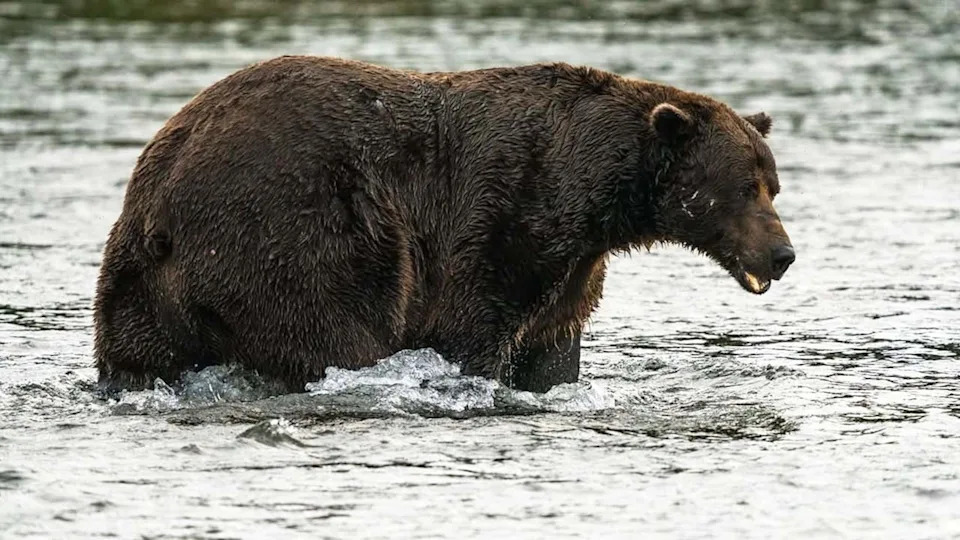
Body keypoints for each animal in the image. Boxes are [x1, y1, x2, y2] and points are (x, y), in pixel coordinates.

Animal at [93, 56, 795, 394]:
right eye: (744, 187)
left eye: (774, 184)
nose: (783, 254)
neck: (594, 196)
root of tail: (161, 202)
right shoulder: (505, 215)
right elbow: (473, 328)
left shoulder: (574, 262)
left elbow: (553, 343)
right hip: (292, 234)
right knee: (334, 332)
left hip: (137, 283)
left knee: (137, 355)